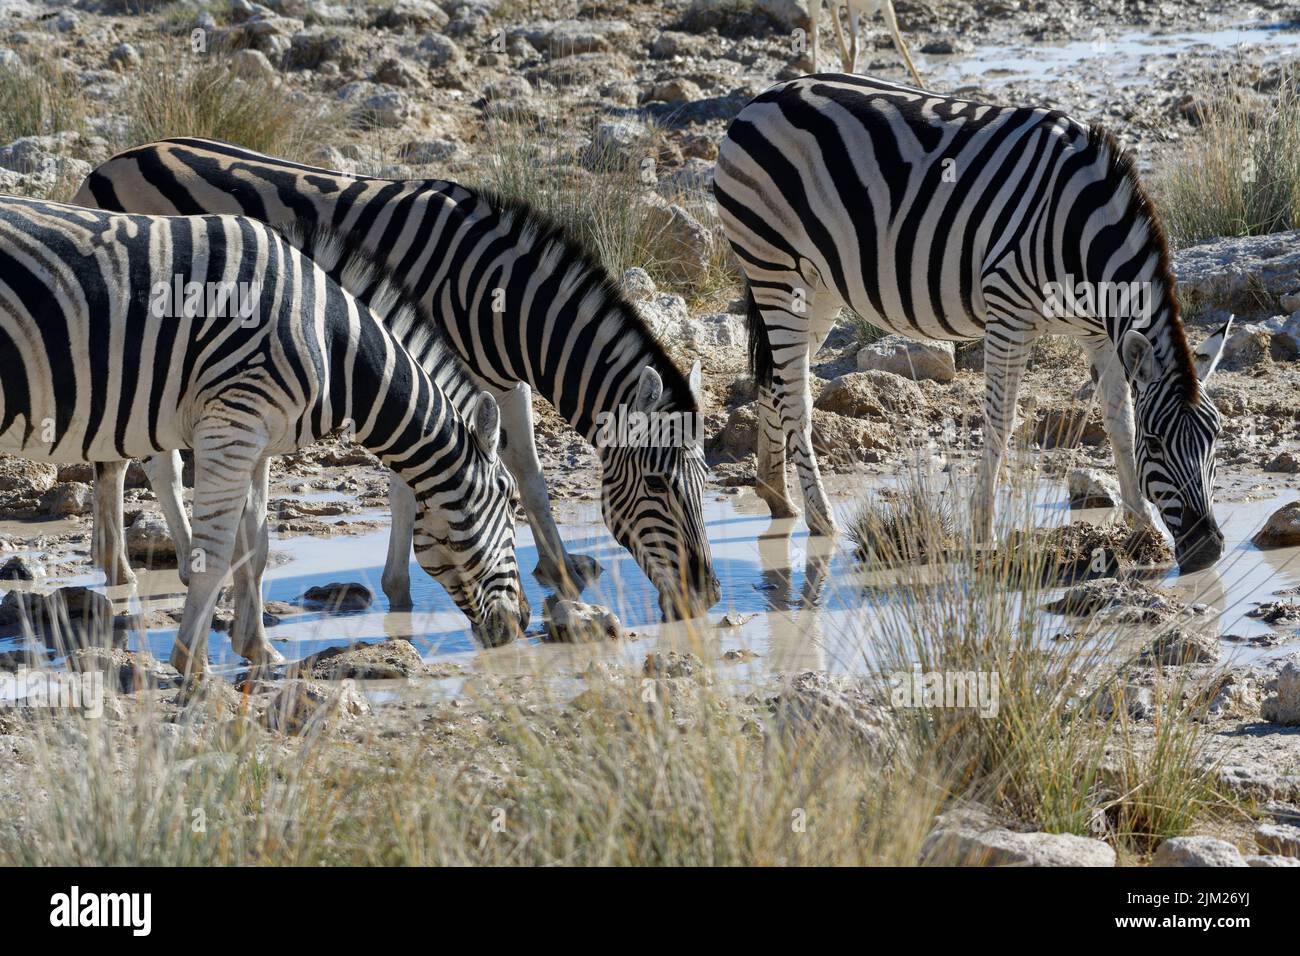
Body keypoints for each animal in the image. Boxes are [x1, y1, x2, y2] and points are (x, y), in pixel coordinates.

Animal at [1, 195, 527, 676]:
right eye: (511, 500)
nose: (521, 623)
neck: (331, 346)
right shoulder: (232, 425)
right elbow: (213, 555)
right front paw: (192, 664)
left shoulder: (256, 440)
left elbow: (254, 548)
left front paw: (257, 650)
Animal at [71, 140, 722, 621]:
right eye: (659, 486)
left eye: (703, 483)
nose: (707, 596)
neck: (501, 298)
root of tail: (109, 162)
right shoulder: (419, 363)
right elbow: (413, 481)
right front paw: (399, 585)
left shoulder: (502, 381)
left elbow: (530, 476)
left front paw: (560, 570)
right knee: (149, 458)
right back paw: (161, 566)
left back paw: (129, 566)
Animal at [717, 74, 1232, 572]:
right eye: (1157, 445)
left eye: (1216, 439)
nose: (1207, 550)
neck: (1081, 231)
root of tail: (759, 100)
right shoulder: (1009, 313)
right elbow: (1001, 421)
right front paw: (983, 528)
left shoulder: (1100, 335)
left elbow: (1118, 422)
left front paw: (1142, 525)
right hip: (774, 268)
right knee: (795, 398)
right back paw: (821, 519)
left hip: (817, 286)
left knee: (777, 381)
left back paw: (776, 495)